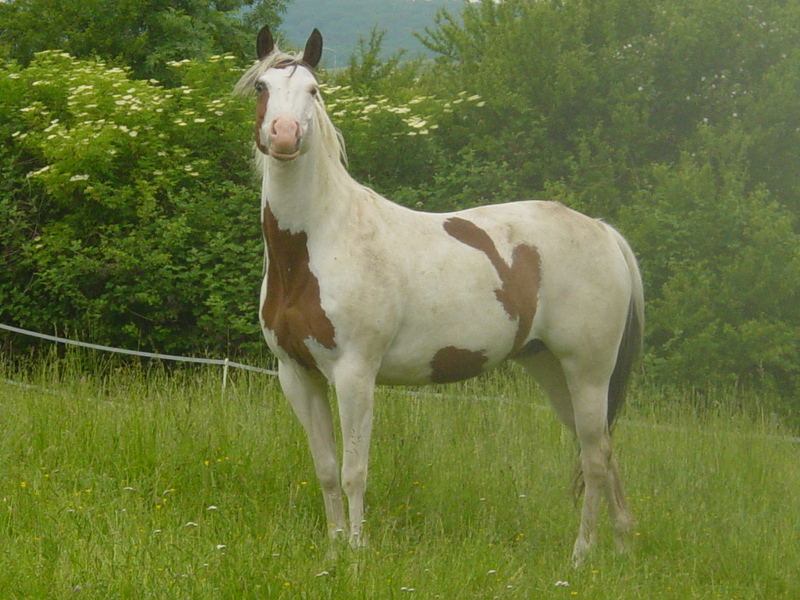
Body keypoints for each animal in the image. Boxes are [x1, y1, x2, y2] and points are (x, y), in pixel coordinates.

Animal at [236, 24, 644, 568]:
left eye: (314, 90)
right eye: (262, 88)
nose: (283, 135)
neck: (319, 242)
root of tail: (603, 232)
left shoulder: (354, 373)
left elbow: (354, 470)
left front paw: (358, 554)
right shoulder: (297, 375)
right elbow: (324, 469)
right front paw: (334, 550)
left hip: (588, 371)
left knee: (596, 459)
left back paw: (580, 556)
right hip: (554, 371)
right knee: (601, 448)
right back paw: (621, 547)